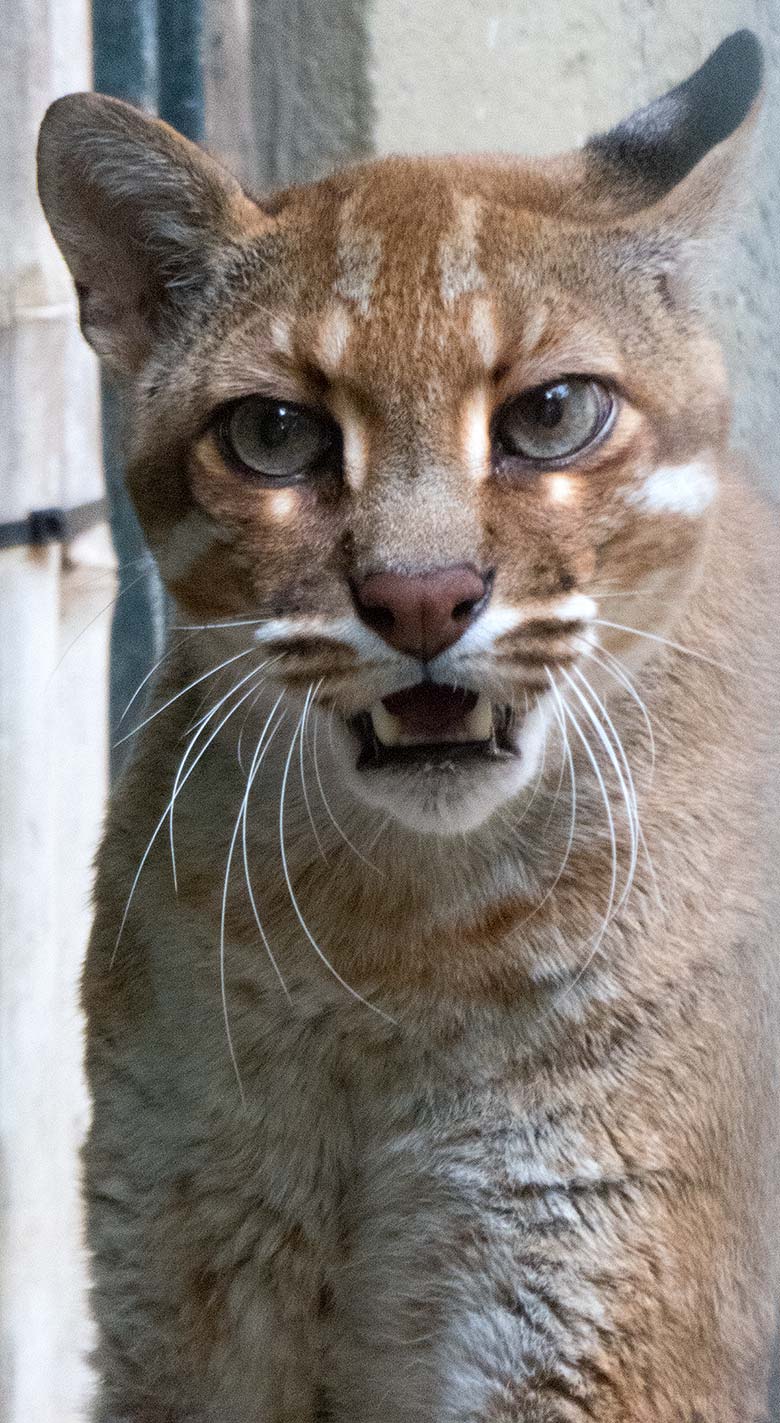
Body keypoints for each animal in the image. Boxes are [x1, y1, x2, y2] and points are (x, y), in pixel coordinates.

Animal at [38, 33, 779, 1423]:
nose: (422, 597)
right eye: (274, 434)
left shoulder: (594, 1324)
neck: (385, 938)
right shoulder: (174, 1283)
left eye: (552, 414)